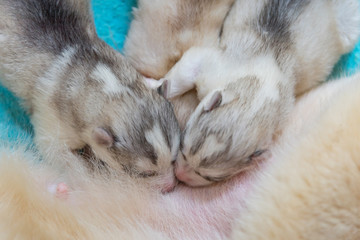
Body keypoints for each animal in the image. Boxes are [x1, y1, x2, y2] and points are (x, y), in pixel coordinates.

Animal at [0, 0, 180, 191]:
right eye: (145, 174)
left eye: (174, 159)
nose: (171, 186)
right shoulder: (51, 117)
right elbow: (56, 150)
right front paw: (87, 182)